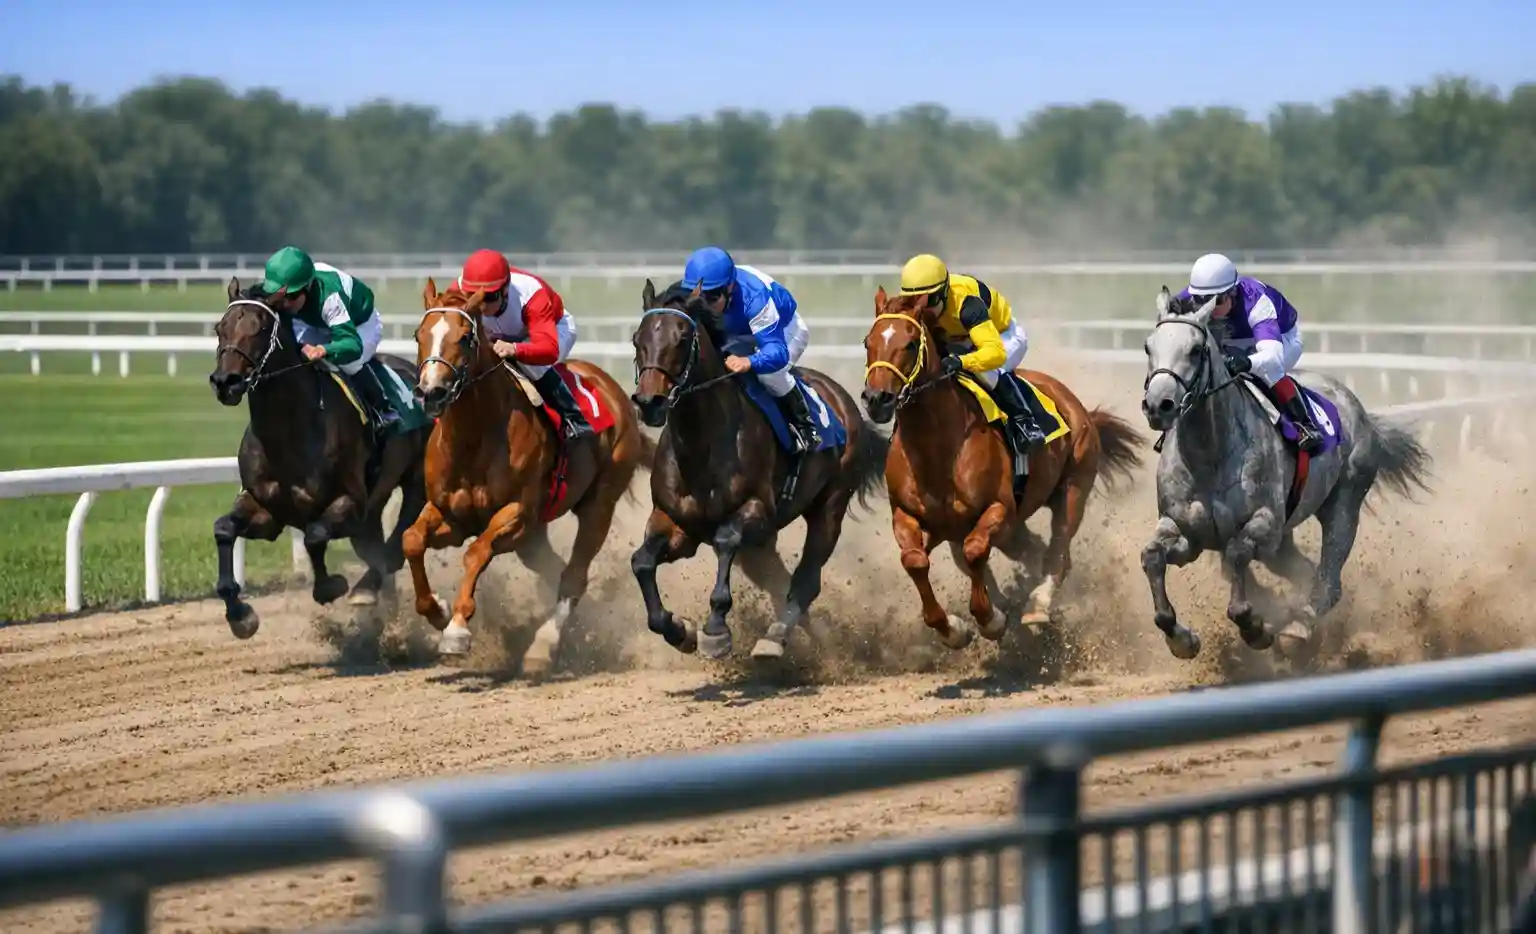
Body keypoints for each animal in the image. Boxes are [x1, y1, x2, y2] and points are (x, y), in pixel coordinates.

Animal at [208, 278, 431, 638]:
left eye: (261, 328)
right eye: (220, 327)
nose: (225, 382)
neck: (287, 434)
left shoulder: (350, 503)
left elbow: (314, 535)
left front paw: (330, 586)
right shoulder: (266, 510)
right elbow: (224, 528)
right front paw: (239, 614)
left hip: (415, 483)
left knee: (394, 546)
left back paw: (366, 591)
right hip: (371, 512)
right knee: (376, 552)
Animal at [403, 279, 652, 676]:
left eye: (464, 338)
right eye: (419, 334)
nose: (430, 392)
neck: (474, 436)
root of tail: (611, 388)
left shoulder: (517, 514)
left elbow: (477, 552)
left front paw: (456, 628)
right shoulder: (451, 515)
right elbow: (411, 540)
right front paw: (438, 611)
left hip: (598, 504)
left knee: (574, 575)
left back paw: (543, 645)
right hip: (534, 537)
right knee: (557, 570)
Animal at [628, 279, 889, 660]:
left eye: (682, 337)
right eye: (638, 338)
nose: (650, 403)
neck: (700, 445)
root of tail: (842, 400)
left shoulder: (757, 511)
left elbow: (725, 540)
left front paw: (715, 630)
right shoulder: (676, 523)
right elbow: (642, 562)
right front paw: (680, 630)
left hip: (830, 504)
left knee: (805, 580)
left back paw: (777, 637)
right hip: (762, 546)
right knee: (780, 584)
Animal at [860, 286, 1145, 649]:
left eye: (910, 343)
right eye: (867, 341)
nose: (875, 399)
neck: (937, 447)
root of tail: (1079, 407)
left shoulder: (1000, 510)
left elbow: (975, 551)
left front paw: (991, 619)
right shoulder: (909, 515)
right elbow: (915, 560)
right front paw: (954, 629)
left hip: (1072, 490)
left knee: (1058, 551)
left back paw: (1037, 606)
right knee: (1033, 550)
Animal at [1139, 286, 1433, 660]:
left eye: (1194, 350)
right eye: (1148, 346)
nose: (1157, 405)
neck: (1208, 454)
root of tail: (1358, 409)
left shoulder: (1265, 525)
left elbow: (1237, 557)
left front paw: (1255, 628)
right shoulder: (1184, 531)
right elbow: (1152, 557)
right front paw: (1180, 638)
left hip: (1343, 503)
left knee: (1329, 579)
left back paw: (1298, 627)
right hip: (1283, 542)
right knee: (1305, 571)